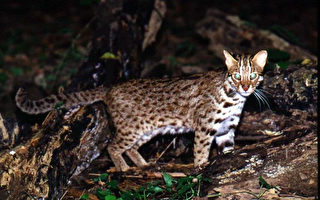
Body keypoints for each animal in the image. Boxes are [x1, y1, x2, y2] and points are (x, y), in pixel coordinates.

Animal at [16, 49, 268, 171]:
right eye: (237, 76)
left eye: (253, 75)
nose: (246, 87)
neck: (233, 98)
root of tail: (111, 86)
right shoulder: (205, 127)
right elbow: (200, 150)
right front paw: (200, 168)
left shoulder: (227, 128)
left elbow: (228, 149)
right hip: (131, 129)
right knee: (112, 146)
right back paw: (124, 169)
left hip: (147, 129)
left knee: (130, 148)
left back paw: (143, 164)